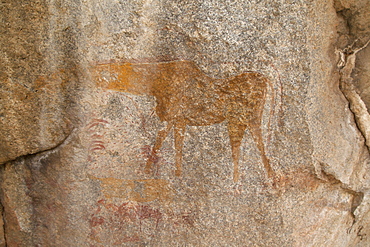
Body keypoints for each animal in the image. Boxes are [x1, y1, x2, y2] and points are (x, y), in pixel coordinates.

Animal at [92, 59, 274, 181]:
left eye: (113, 71)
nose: (94, 73)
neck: (155, 85)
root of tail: (266, 79)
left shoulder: (177, 118)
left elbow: (170, 144)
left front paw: (171, 173)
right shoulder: (176, 120)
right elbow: (166, 143)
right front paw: (162, 172)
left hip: (247, 119)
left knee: (255, 146)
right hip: (241, 120)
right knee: (246, 148)